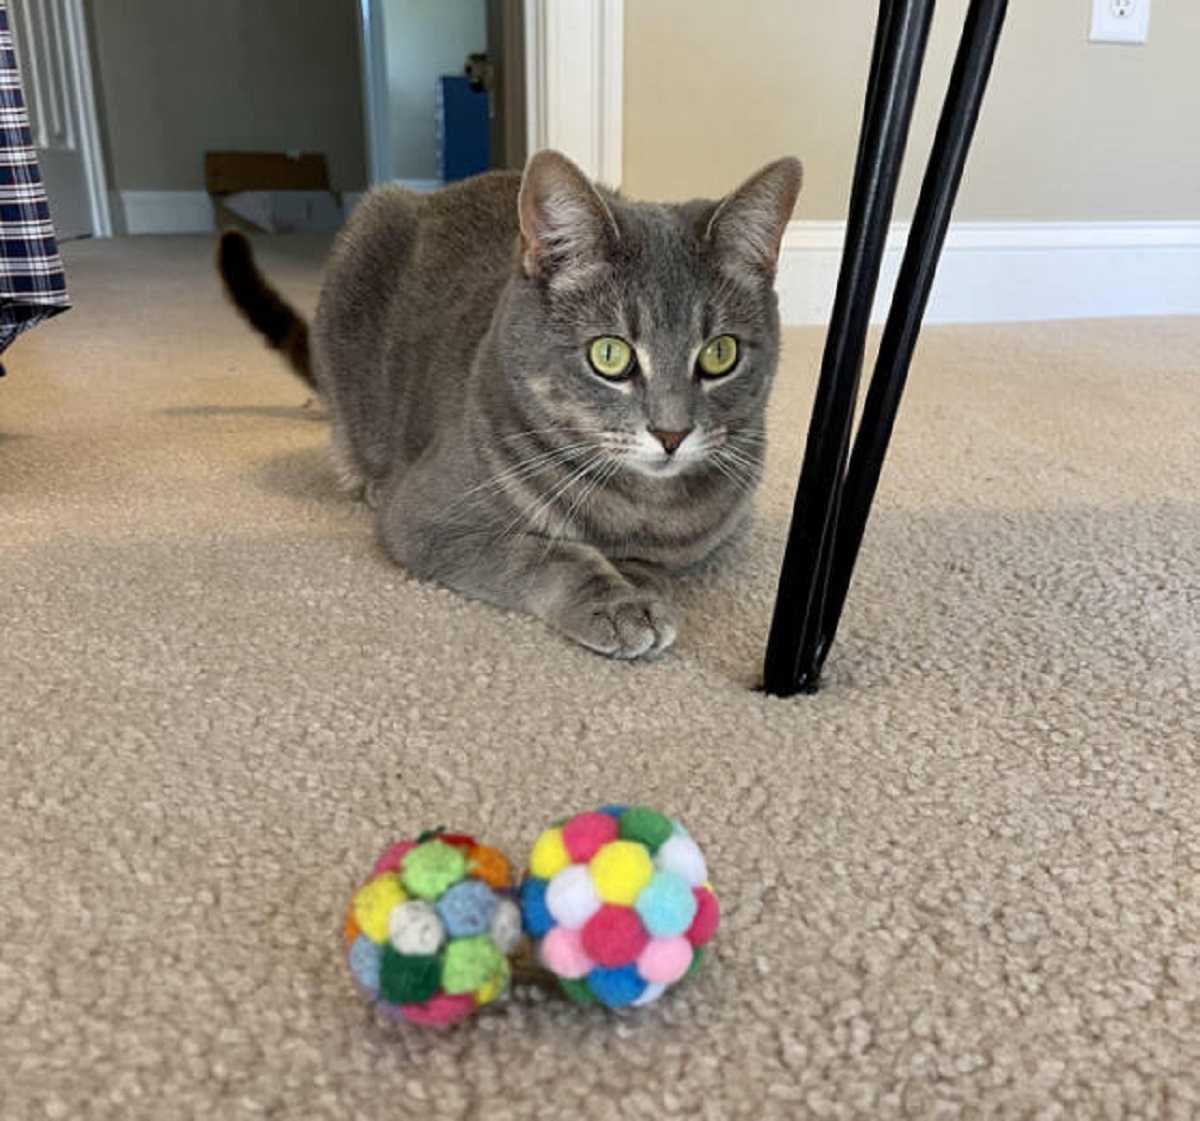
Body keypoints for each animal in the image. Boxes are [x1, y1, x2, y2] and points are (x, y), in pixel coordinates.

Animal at [220, 149, 801, 657]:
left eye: (720, 354)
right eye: (609, 354)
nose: (672, 433)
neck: (639, 507)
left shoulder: (721, 534)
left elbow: (657, 560)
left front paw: (639, 581)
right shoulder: (429, 518)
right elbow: (542, 551)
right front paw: (616, 602)